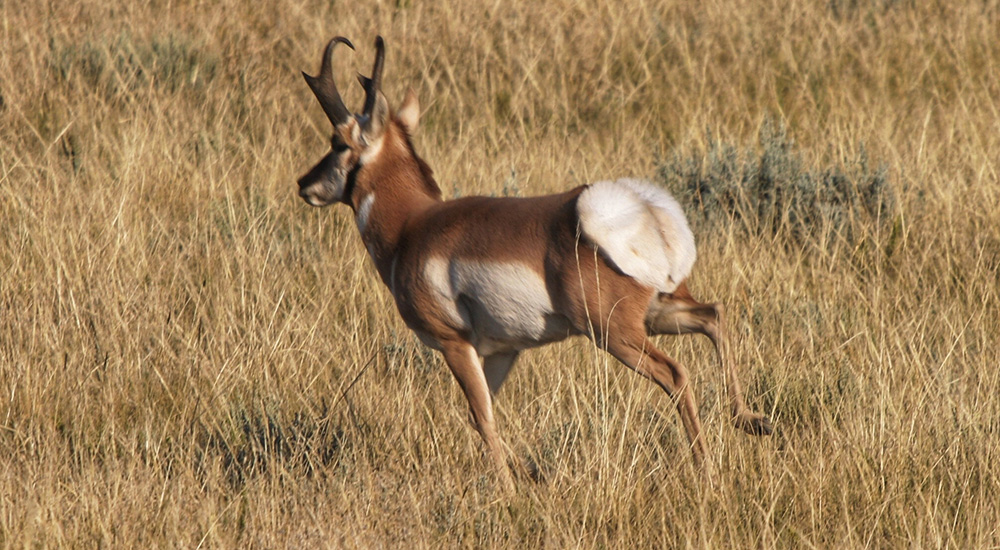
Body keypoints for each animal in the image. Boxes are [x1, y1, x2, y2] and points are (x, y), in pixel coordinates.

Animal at [296, 35, 772, 492]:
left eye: (338, 142)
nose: (304, 184)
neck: (412, 225)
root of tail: (641, 210)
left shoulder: (454, 344)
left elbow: (481, 416)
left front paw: (507, 491)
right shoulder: (503, 351)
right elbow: (483, 414)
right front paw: (525, 475)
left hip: (615, 334)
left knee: (675, 373)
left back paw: (708, 470)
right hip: (659, 312)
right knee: (714, 315)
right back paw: (752, 421)